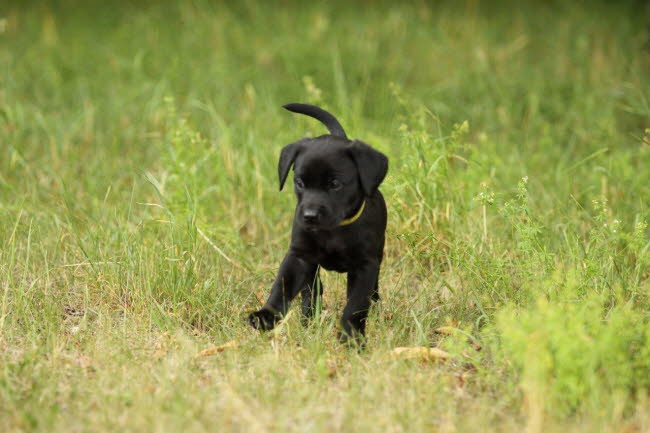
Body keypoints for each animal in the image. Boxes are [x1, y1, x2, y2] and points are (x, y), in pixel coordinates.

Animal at [247, 103, 388, 342]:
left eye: (335, 184)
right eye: (300, 183)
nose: (309, 216)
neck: (334, 231)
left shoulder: (365, 265)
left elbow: (356, 305)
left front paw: (351, 337)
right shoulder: (299, 256)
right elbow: (281, 287)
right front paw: (266, 315)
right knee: (311, 291)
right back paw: (309, 320)